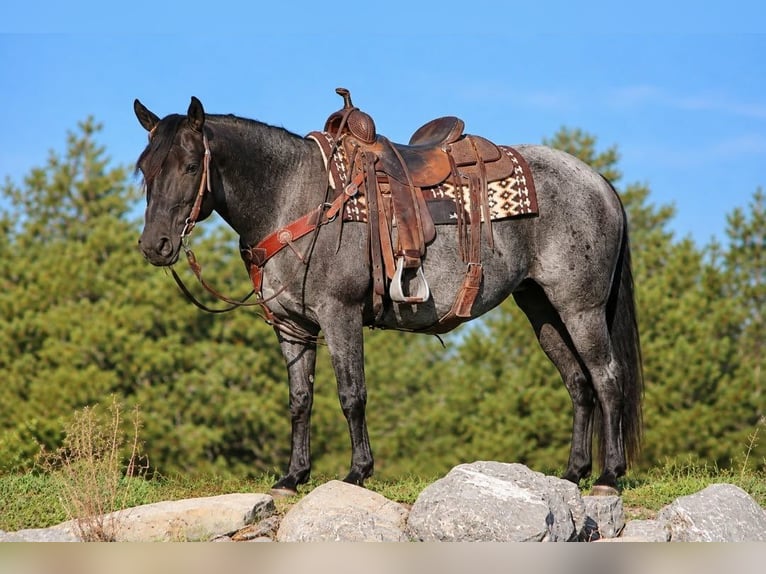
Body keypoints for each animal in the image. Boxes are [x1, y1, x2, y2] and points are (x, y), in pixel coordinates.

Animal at [133, 95, 643, 496]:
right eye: (146, 170)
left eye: (191, 166)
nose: (155, 245)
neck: (295, 197)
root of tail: (599, 183)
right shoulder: (293, 327)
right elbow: (300, 400)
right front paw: (293, 477)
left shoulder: (339, 315)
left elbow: (351, 394)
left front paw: (357, 472)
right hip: (542, 308)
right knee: (578, 383)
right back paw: (573, 473)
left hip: (580, 308)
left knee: (607, 378)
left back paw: (608, 476)